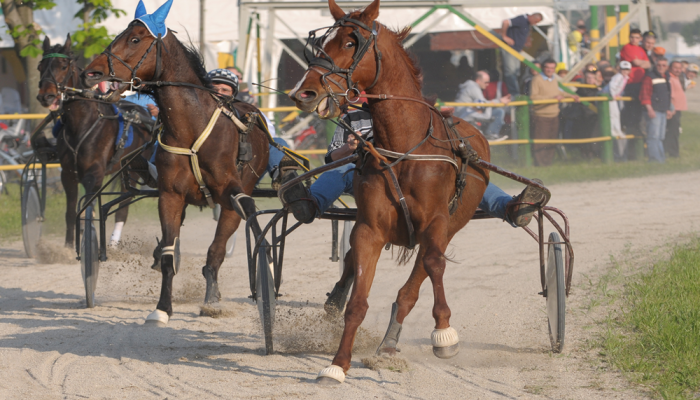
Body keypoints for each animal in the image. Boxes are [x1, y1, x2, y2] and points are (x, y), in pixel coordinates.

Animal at [35, 36, 153, 250]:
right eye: (40, 66)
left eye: (63, 65)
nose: (46, 96)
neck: (82, 124)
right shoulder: (68, 174)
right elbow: (71, 212)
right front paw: (68, 247)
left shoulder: (94, 174)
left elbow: (87, 208)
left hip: (133, 169)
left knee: (124, 206)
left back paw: (113, 244)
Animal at [80, 20, 270, 324]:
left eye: (135, 39)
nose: (91, 73)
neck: (191, 127)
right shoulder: (170, 195)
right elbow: (169, 252)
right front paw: (162, 308)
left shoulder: (232, 193)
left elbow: (220, 245)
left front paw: (214, 300)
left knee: (219, 247)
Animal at [290, 0, 492, 384]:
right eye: (323, 42)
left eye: (351, 42)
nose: (304, 93)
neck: (403, 147)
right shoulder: (370, 228)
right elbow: (357, 300)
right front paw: (337, 364)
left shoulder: (436, 223)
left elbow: (432, 266)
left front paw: (444, 333)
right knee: (352, 265)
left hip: (452, 224)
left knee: (420, 275)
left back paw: (393, 341)